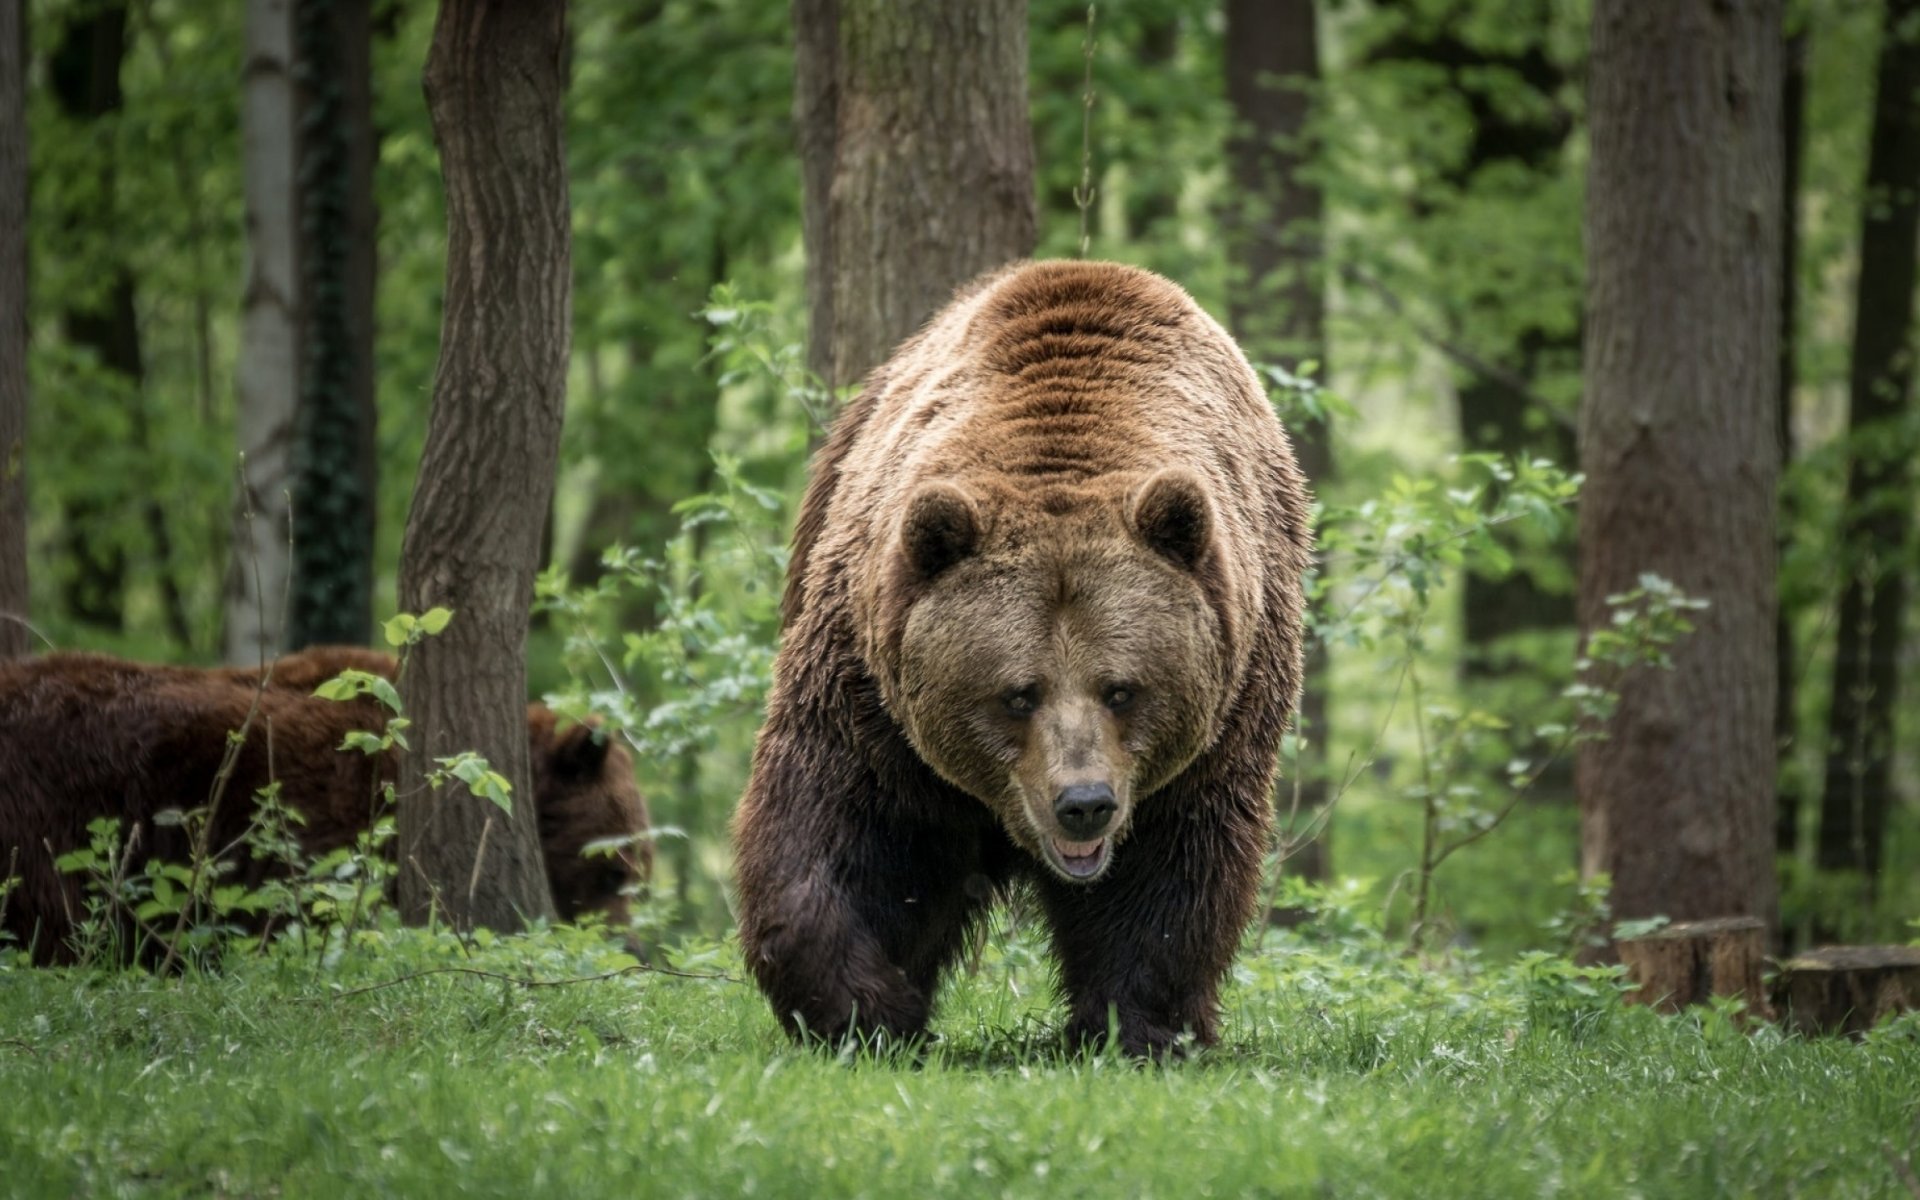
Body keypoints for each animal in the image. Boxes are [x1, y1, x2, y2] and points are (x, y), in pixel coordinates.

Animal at [725, 261, 1313, 1059]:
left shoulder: (1224, 712)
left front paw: (1138, 1025)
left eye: (1122, 689)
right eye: (1017, 694)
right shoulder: (869, 694)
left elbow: (1173, 872)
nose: (1083, 803)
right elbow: (834, 825)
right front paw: (864, 1008)